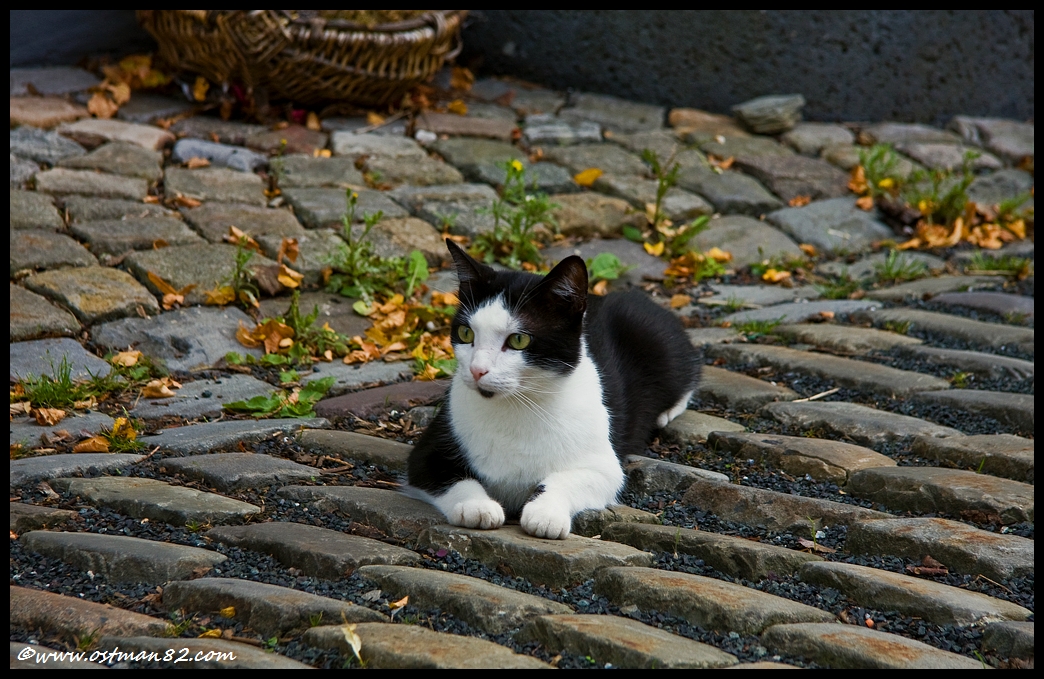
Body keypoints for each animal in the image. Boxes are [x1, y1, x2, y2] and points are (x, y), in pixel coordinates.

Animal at [402, 240, 697, 534]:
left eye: (518, 339)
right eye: (466, 333)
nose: (477, 369)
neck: (517, 406)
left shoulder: (605, 464)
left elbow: (569, 479)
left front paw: (545, 513)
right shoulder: (429, 449)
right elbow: (449, 477)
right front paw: (476, 506)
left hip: (657, 337)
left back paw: (665, 412)